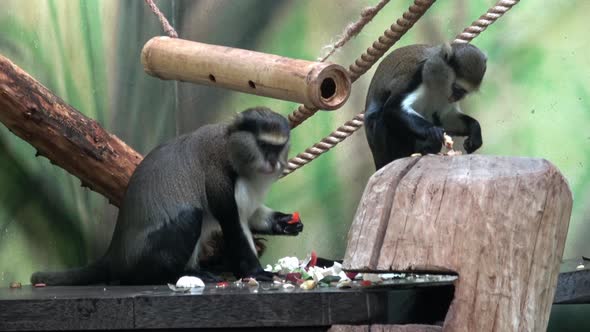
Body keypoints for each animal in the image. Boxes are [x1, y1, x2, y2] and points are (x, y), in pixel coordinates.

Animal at [30, 107, 302, 286]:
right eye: (264, 146)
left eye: (278, 147)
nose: (273, 163)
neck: (230, 148)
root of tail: (114, 254)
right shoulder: (220, 181)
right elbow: (234, 225)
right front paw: (256, 272)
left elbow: (251, 214)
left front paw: (284, 222)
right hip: (145, 256)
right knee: (190, 216)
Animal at [366, 42, 490, 170]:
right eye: (457, 89)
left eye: (464, 92)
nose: (455, 98)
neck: (438, 85)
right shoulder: (418, 74)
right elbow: (393, 107)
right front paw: (432, 130)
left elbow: (446, 117)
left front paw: (475, 130)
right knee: (381, 118)